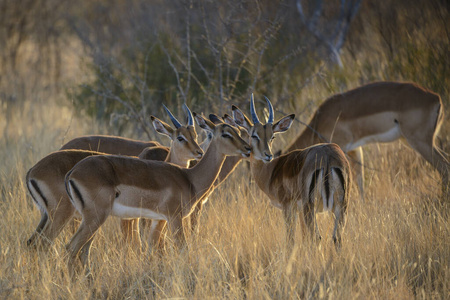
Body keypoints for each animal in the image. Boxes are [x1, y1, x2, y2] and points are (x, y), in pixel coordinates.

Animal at [25, 105, 202, 248]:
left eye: (195, 135)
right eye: (180, 137)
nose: (199, 152)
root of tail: (32, 171)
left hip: (49, 216)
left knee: (32, 242)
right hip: (62, 215)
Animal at [64, 115, 251, 276]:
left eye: (237, 130)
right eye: (226, 133)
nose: (247, 148)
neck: (189, 178)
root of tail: (72, 172)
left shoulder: (157, 219)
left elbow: (152, 249)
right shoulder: (175, 218)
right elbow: (182, 249)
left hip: (93, 220)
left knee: (82, 249)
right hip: (95, 218)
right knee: (72, 247)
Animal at [232, 96, 352, 246]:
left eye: (272, 136)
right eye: (254, 135)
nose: (268, 155)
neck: (272, 171)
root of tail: (328, 157)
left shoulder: (288, 207)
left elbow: (291, 240)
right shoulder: (298, 211)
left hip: (310, 207)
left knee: (316, 237)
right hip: (341, 206)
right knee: (337, 237)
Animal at [284, 81, 448, 200]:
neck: (319, 121)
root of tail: (436, 98)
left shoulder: (340, 148)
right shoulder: (355, 149)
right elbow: (360, 181)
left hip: (420, 142)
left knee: (444, 167)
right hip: (415, 141)